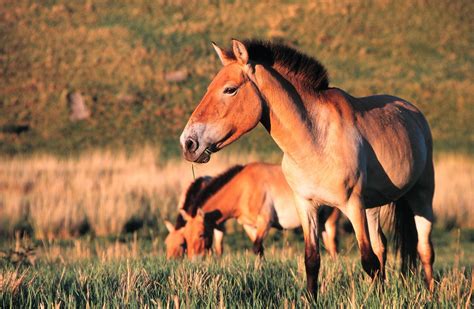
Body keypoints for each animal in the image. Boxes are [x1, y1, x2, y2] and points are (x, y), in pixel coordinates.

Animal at [174, 161, 340, 258]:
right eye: (185, 237)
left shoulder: (265, 223)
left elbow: (256, 247)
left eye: (201, 234)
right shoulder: (249, 226)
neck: (244, 188)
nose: (194, 260)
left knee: (333, 247)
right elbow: (259, 250)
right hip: (320, 223)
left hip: (330, 222)